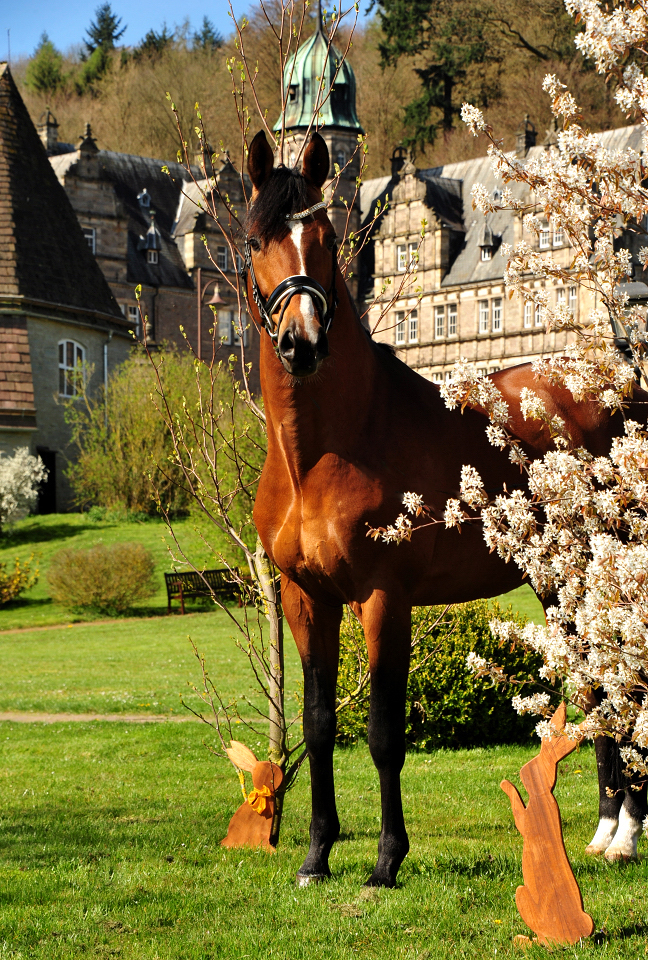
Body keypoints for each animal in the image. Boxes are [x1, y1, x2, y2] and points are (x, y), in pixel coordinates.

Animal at [246, 129, 644, 884]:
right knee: (595, 681)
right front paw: (316, 854)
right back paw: (611, 830)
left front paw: (386, 860)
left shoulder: (383, 596)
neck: (328, 449)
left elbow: (381, 732)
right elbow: (317, 725)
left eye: (324, 235)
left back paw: (628, 831)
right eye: (257, 240)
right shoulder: (307, 599)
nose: (301, 344)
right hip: (561, 579)